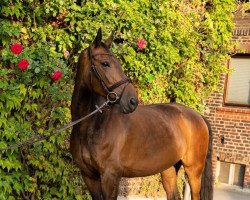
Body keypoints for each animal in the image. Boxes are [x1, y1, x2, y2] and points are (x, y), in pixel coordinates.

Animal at [70, 29, 213, 200]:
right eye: (105, 63)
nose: (132, 100)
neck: (93, 125)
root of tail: (198, 116)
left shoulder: (110, 177)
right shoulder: (89, 176)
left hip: (193, 170)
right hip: (169, 168)